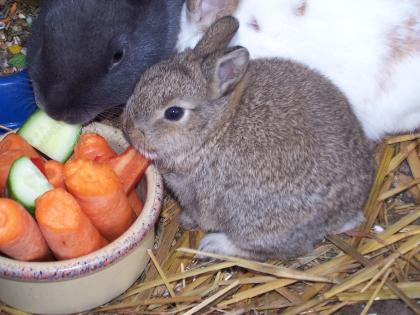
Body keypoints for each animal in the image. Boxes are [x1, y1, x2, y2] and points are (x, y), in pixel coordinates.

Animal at [123, 15, 376, 262]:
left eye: (174, 113)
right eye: (143, 78)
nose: (128, 128)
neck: (214, 129)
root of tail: (349, 207)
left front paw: (188, 220)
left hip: (259, 225)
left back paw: (213, 246)